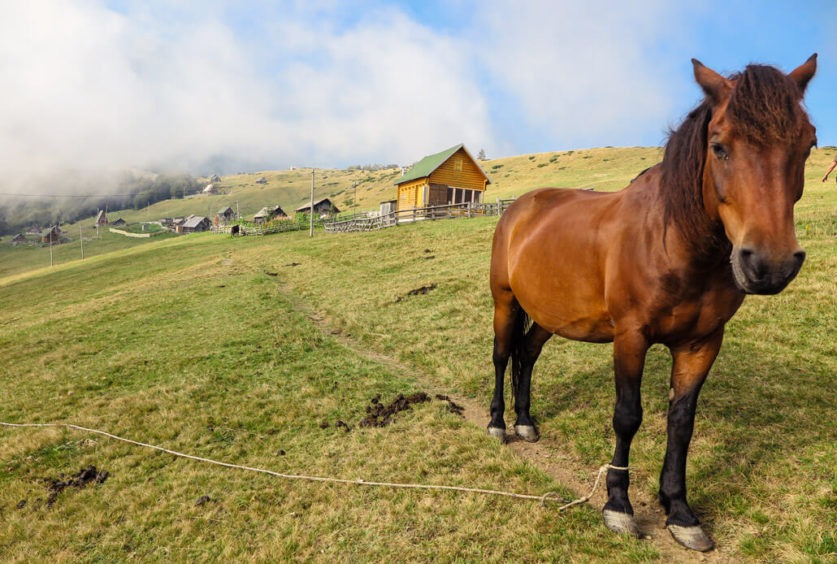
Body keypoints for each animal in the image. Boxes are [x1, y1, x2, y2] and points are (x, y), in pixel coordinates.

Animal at [490, 56, 816, 552]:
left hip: (549, 313)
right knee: (502, 355)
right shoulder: (631, 337)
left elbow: (680, 423)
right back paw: (497, 423)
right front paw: (619, 506)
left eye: (809, 144)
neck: (673, 243)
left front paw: (679, 511)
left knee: (526, 355)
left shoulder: (702, 343)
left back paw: (525, 422)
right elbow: (628, 416)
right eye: (719, 147)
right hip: (505, 302)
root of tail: (519, 207)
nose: (771, 263)